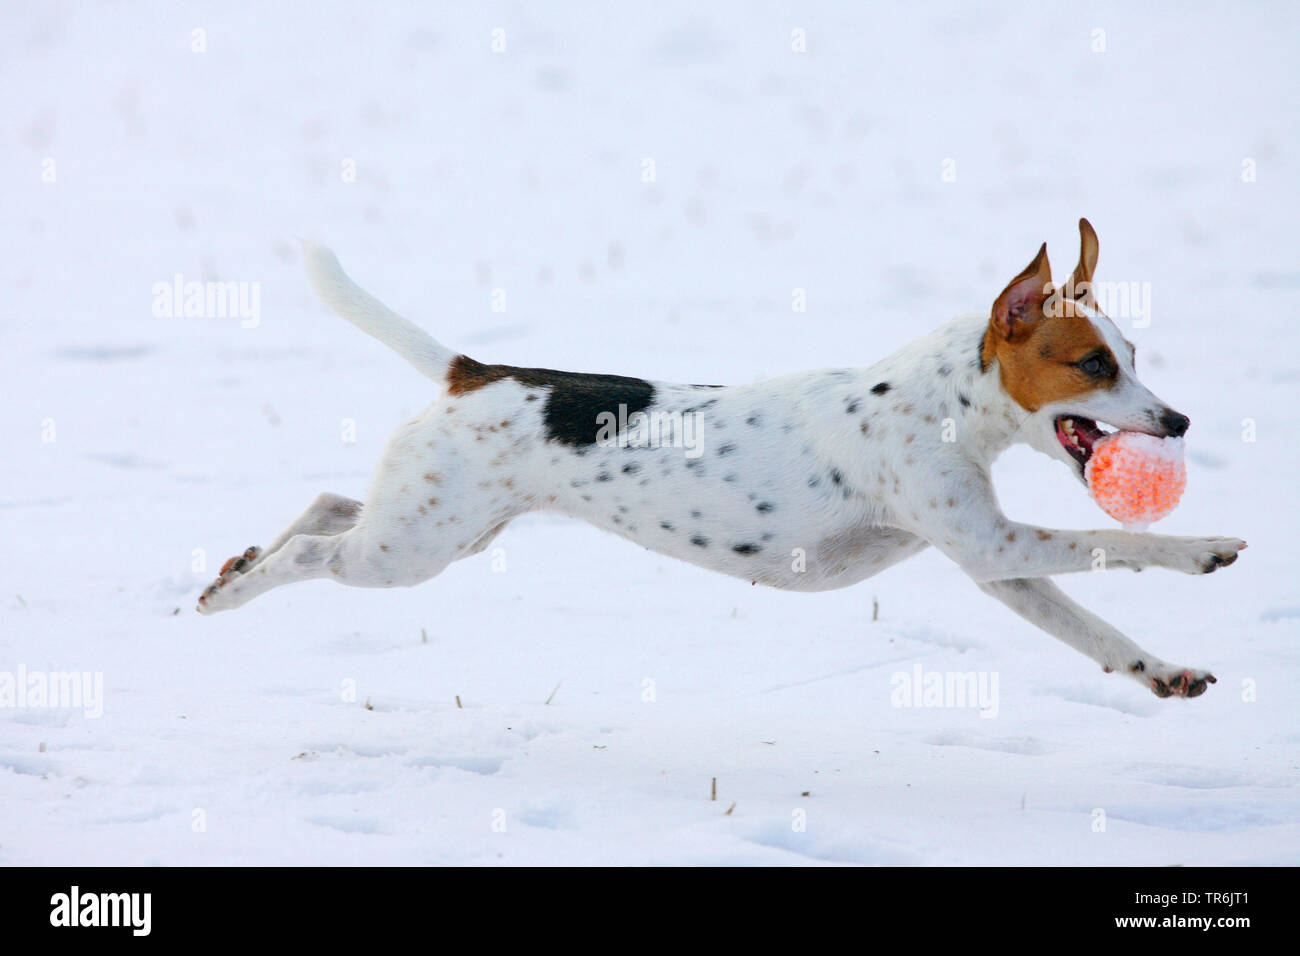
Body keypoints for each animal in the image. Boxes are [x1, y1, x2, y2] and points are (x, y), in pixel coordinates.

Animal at [197, 223, 1242, 702]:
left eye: (1135, 356)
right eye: (1095, 365)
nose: (1179, 419)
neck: (940, 403)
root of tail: (475, 372)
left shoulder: (997, 566)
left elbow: (1095, 631)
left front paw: (1161, 670)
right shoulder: (993, 545)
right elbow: (1114, 547)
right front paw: (1204, 548)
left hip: (433, 532)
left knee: (325, 504)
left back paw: (237, 561)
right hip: (408, 552)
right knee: (315, 553)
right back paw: (234, 591)